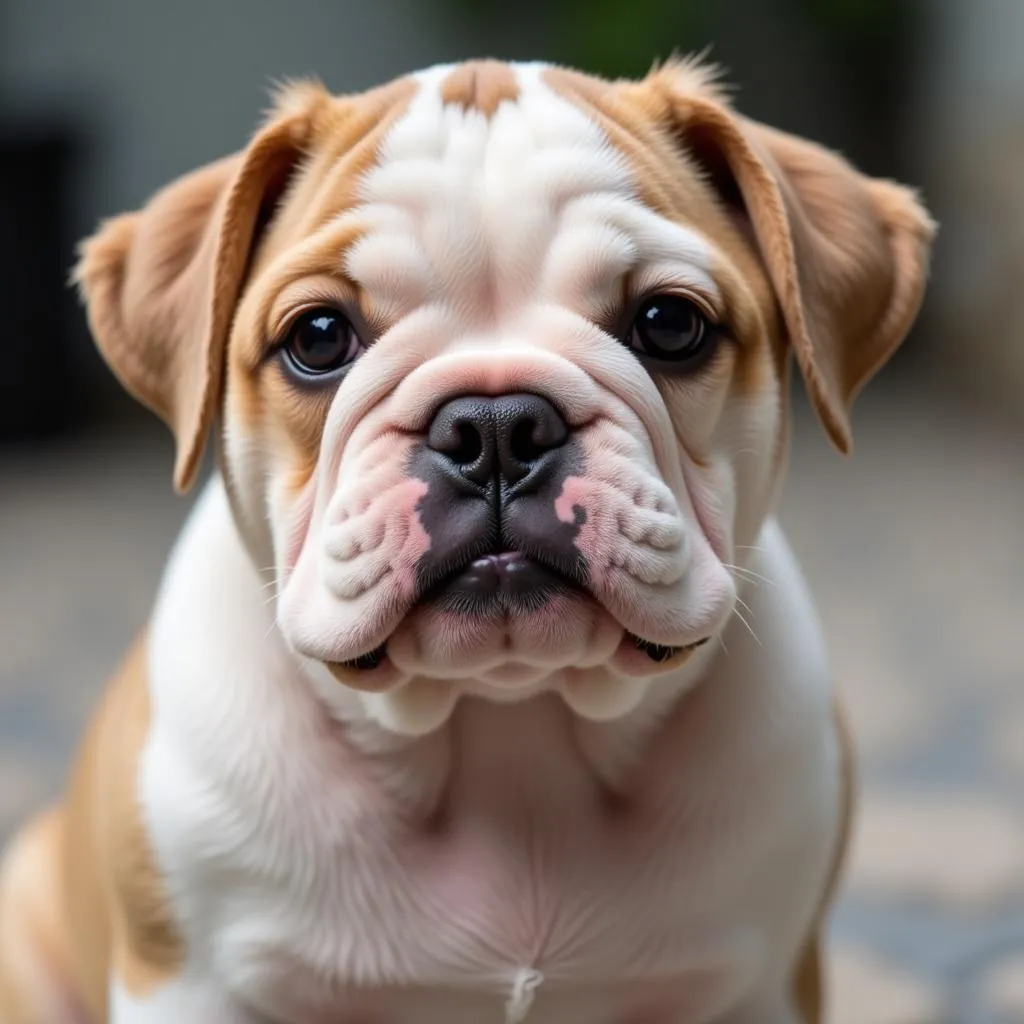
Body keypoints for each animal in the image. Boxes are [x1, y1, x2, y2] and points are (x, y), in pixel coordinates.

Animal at [0, 58, 933, 1024]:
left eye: (671, 324)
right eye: (317, 338)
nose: (495, 426)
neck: (504, 724)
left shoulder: (761, 981)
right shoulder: (188, 986)